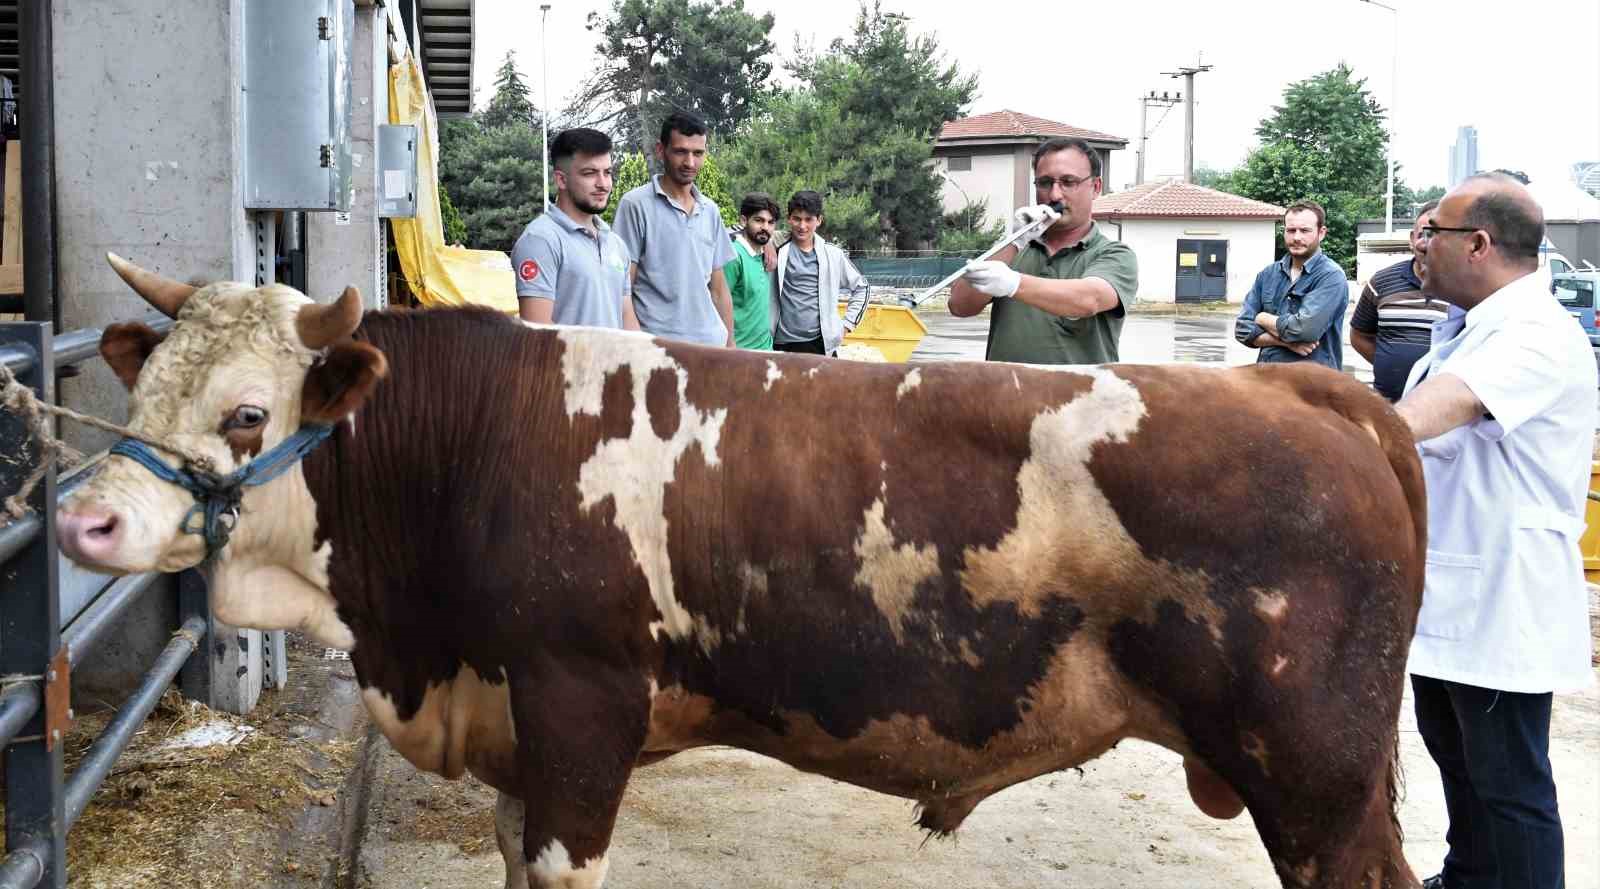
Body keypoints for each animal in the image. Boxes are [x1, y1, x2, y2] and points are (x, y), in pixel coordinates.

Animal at [56, 254, 1427, 882]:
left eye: (246, 413)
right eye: (146, 381)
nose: (87, 525)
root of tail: (1308, 391)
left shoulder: (579, 702)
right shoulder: (513, 723)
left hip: (1313, 772)